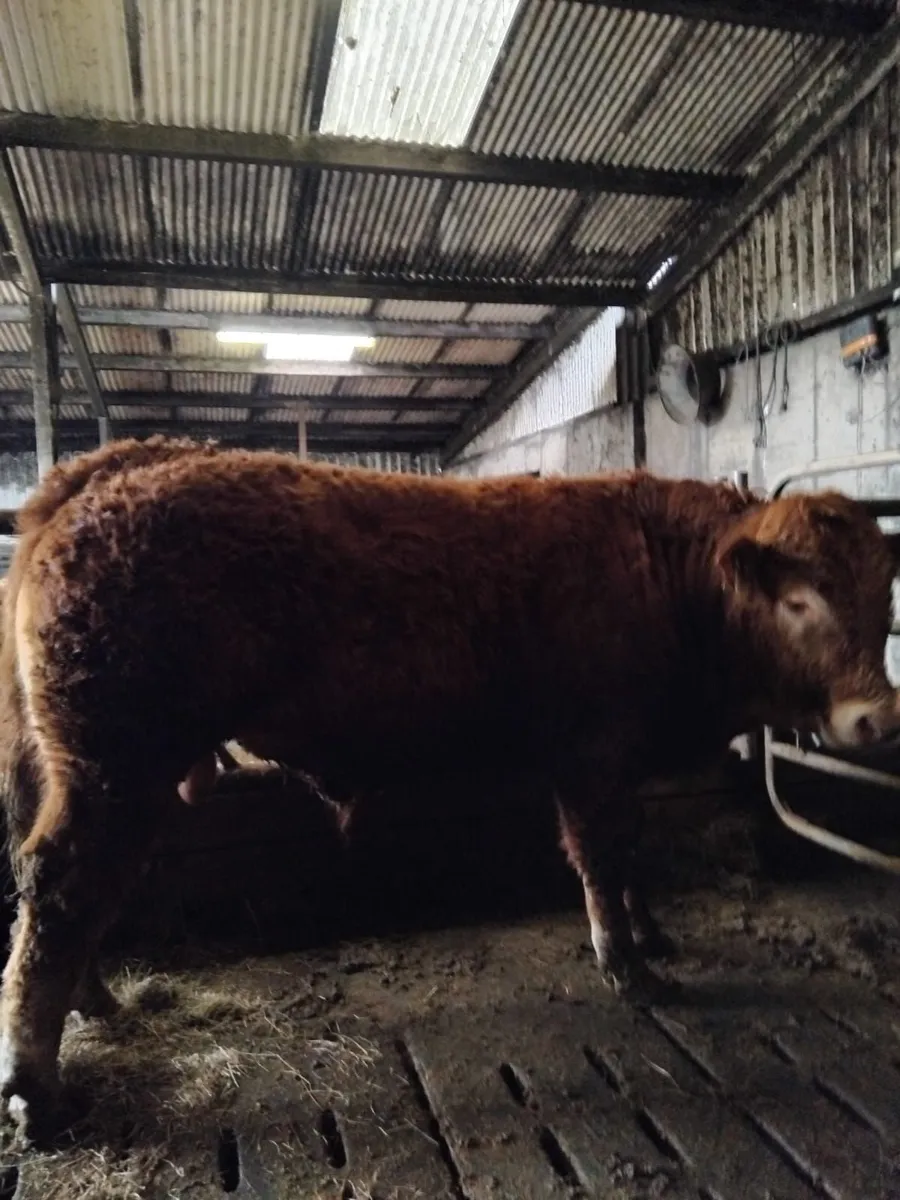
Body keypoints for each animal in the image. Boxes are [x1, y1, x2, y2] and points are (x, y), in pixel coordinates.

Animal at [1, 435, 899, 1143]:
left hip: (72, 769)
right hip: (116, 768)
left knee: (57, 889)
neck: (660, 573)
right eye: (800, 600)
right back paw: (37, 1091)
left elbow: (632, 852)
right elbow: (600, 857)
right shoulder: (591, 754)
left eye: (882, 598)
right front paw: (629, 967)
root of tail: (103, 471)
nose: (877, 717)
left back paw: (94, 1002)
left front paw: (651, 935)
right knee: (61, 890)